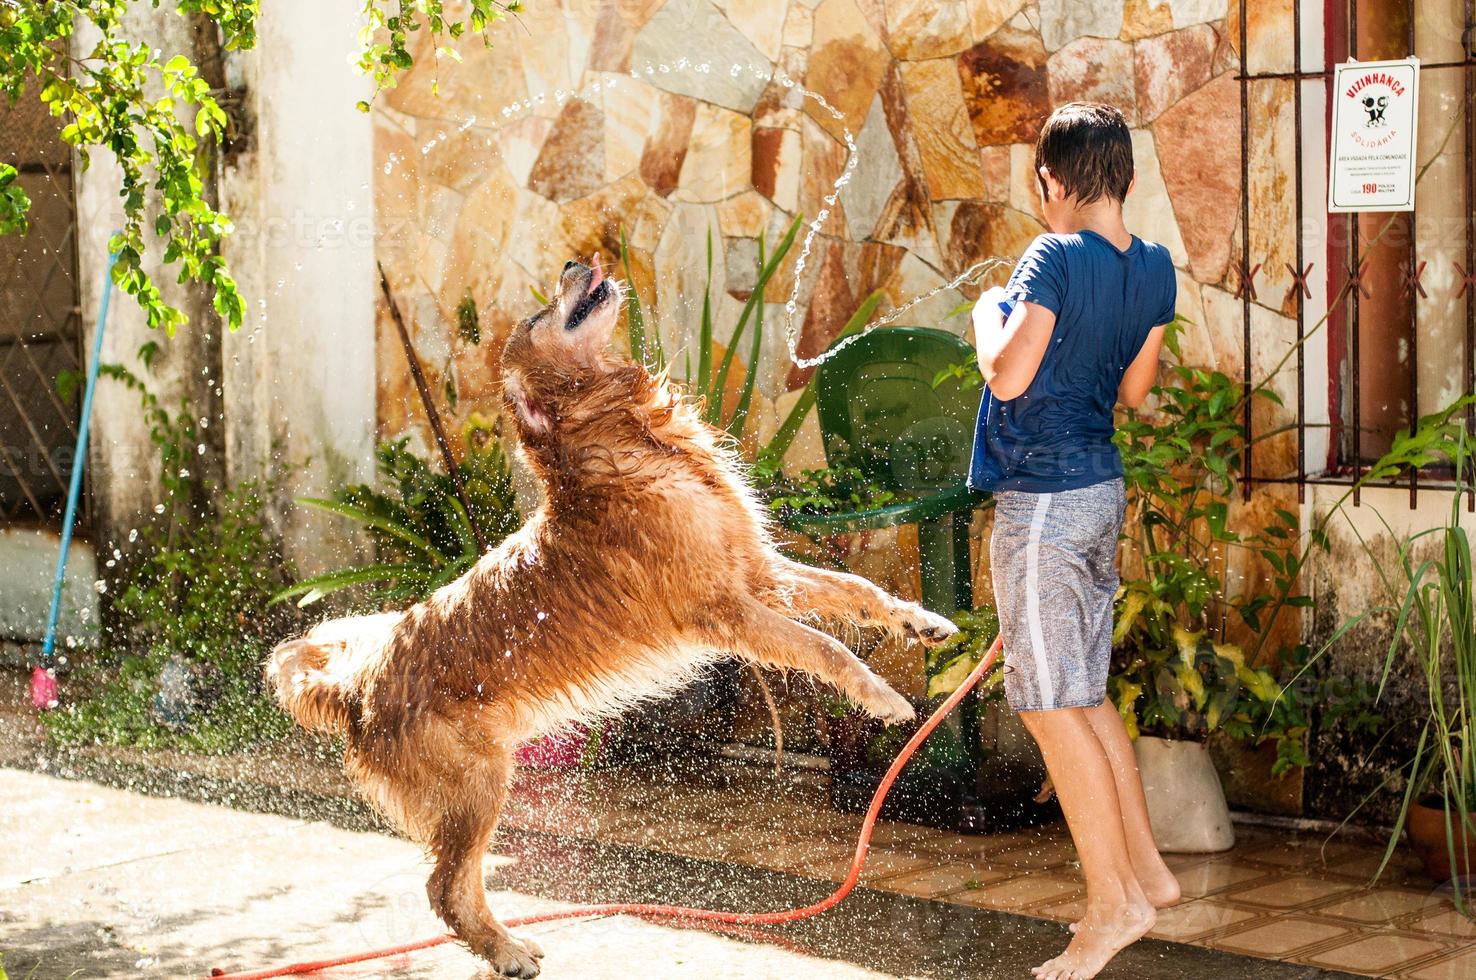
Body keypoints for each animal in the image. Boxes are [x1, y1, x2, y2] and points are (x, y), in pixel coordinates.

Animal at [265, 256, 956, 974]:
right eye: (537, 315)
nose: (574, 262)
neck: (632, 439)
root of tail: (358, 687)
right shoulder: (726, 608)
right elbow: (828, 648)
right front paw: (884, 698)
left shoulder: (757, 569)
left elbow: (857, 588)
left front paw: (922, 622)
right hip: (479, 784)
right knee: (445, 886)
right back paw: (505, 950)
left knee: (453, 884)